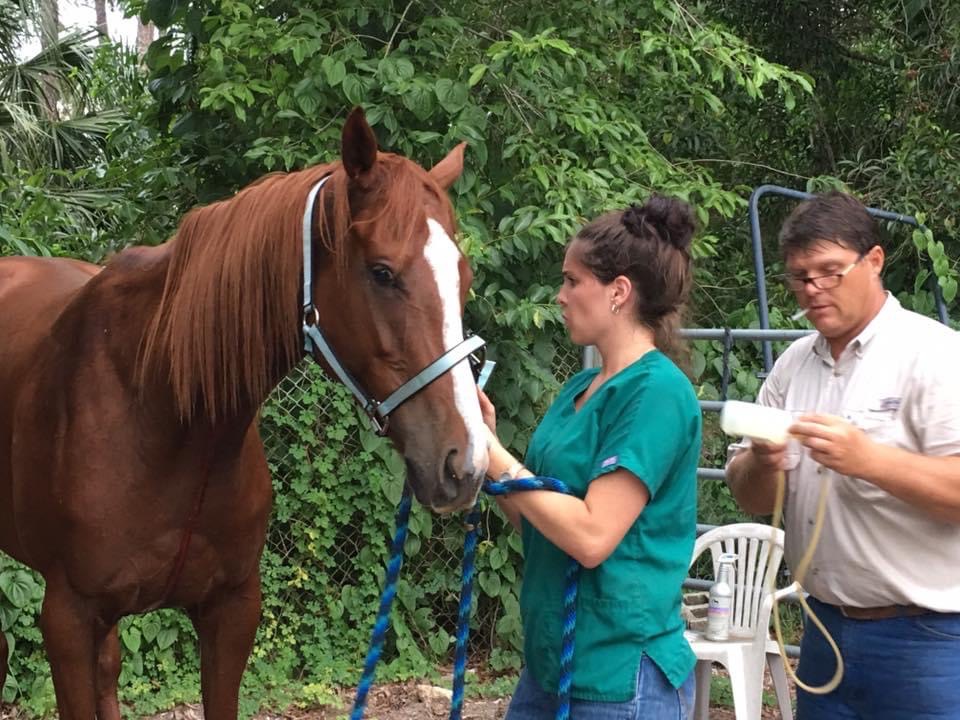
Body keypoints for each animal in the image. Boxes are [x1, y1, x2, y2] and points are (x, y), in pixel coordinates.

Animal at [0, 107, 489, 719]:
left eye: (462, 277)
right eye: (382, 272)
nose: (465, 462)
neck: (161, 415)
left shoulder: (232, 610)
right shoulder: (66, 617)